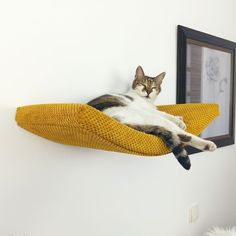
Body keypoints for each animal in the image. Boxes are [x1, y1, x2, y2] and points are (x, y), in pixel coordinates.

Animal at [87, 66, 217, 170]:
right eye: (143, 85)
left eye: (154, 87)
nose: (148, 92)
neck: (147, 101)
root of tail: (120, 122)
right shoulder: (150, 110)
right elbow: (165, 113)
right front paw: (179, 121)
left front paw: (179, 117)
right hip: (148, 117)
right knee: (179, 132)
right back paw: (208, 144)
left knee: (179, 136)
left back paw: (206, 146)